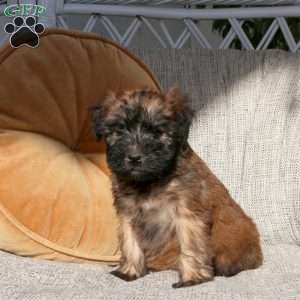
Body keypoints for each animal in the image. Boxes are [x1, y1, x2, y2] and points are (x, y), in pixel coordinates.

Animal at [91, 87, 262, 288]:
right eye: (119, 130)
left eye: (157, 132)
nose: (134, 157)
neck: (150, 181)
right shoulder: (127, 212)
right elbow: (129, 241)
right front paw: (129, 271)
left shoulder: (188, 213)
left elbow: (190, 246)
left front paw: (192, 277)